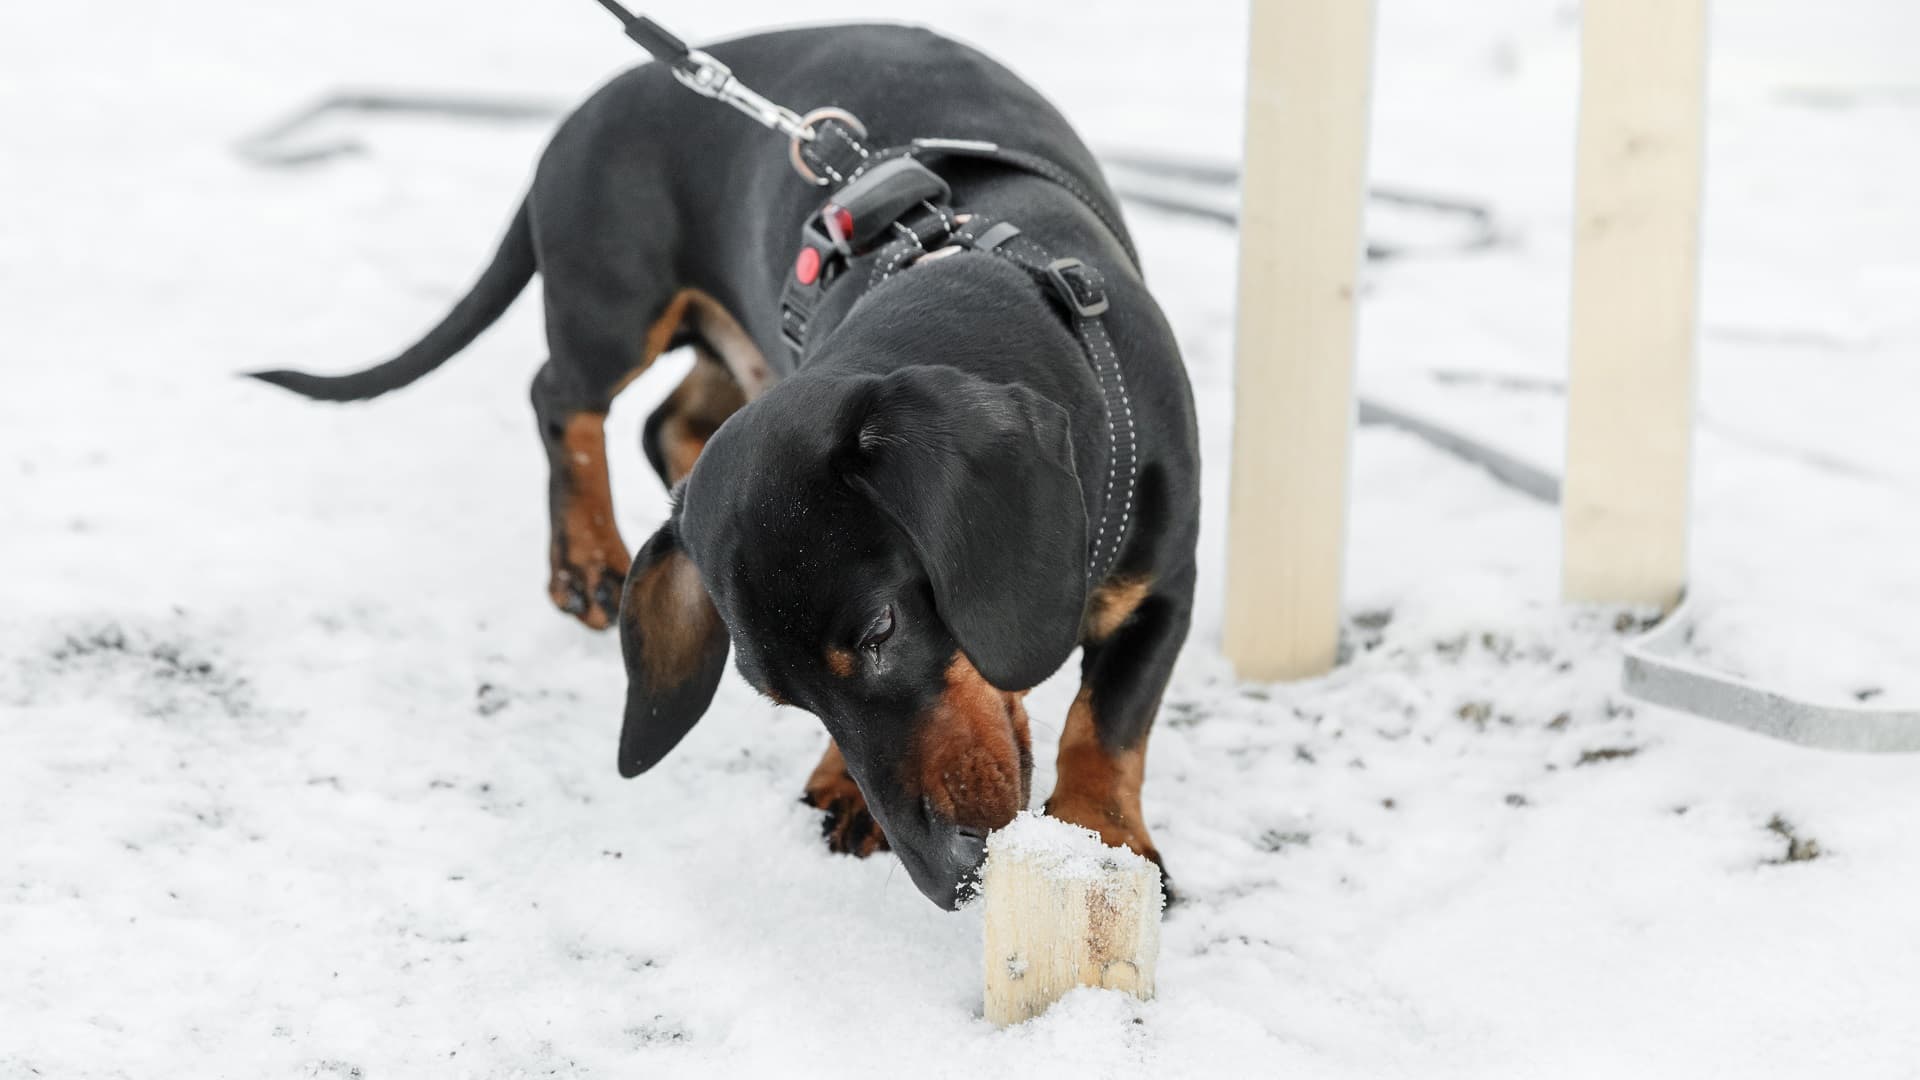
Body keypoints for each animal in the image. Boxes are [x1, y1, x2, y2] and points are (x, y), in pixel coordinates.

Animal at [251, 23, 1198, 899]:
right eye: (791, 701)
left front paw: (1097, 832)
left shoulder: (1167, 590)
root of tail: (580, 117)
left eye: (881, 632)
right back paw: (587, 558)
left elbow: (1109, 719)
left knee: (661, 424)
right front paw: (844, 785)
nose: (947, 877)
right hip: (615, 306)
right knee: (562, 397)